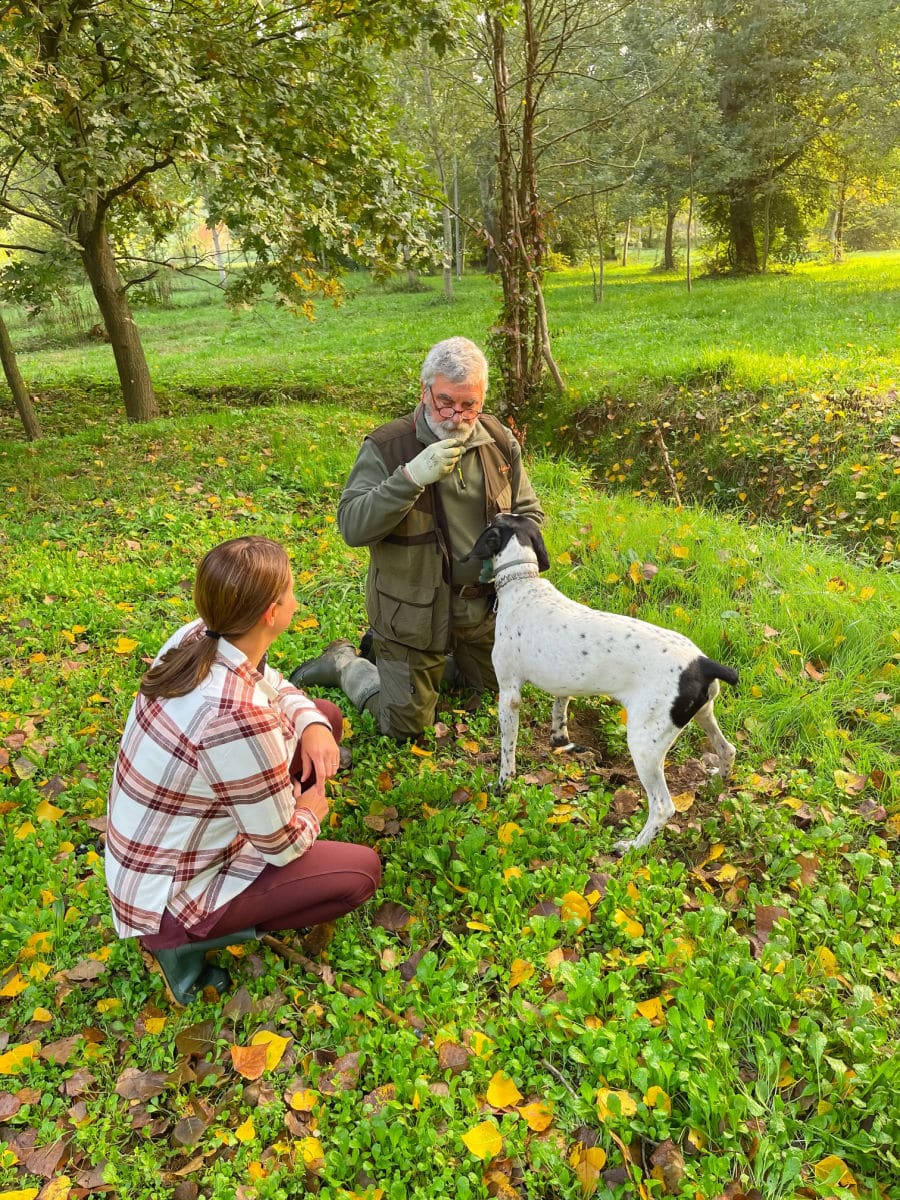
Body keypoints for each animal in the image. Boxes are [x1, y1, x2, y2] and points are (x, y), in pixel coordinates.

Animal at [465, 516, 739, 854]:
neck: (524, 583)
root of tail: (702, 662)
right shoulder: (564, 686)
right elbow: (560, 712)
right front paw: (561, 741)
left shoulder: (509, 693)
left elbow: (508, 750)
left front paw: (503, 784)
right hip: (704, 715)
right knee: (728, 750)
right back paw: (716, 784)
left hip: (645, 745)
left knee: (663, 807)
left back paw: (633, 846)